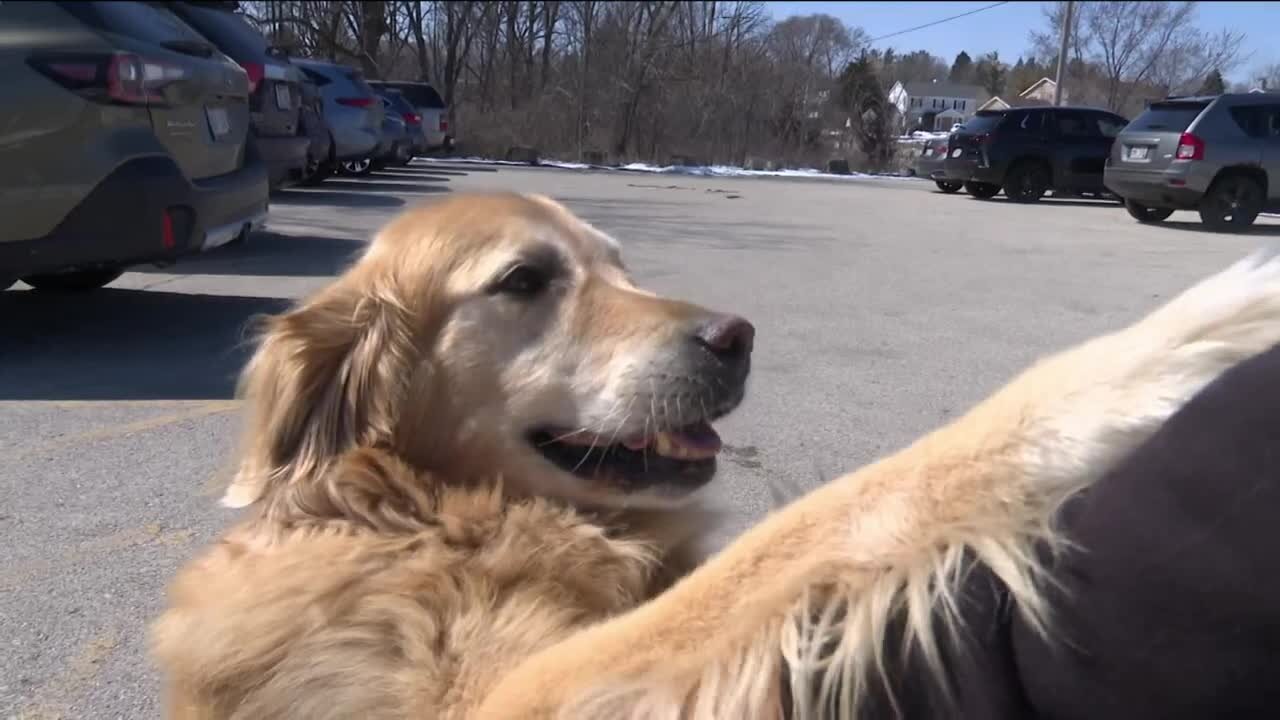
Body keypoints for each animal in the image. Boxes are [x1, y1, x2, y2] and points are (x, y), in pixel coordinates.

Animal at [152, 192, 1280, 717]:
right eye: (524, 280)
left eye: (619, 264)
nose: (738, 337)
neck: (430, 516)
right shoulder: (515, 699)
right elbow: (830, 514)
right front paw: (1157, 352)